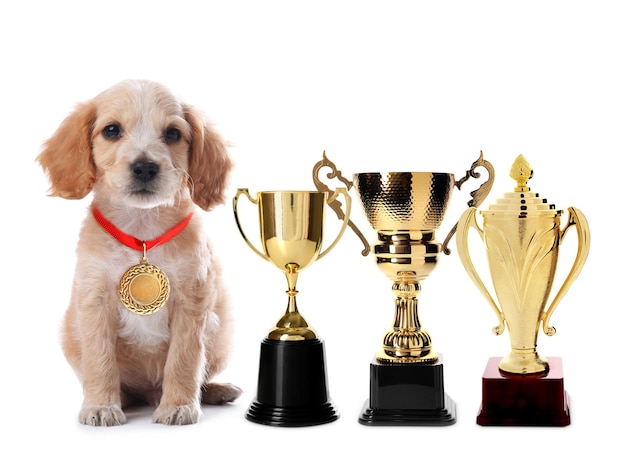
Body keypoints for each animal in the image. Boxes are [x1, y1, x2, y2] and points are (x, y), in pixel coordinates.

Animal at [37, 79, 241, 426]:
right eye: (111, 130)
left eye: (172, 133)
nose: (145, 167)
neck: (142, 232)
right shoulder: (94, 302)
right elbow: (100, 359)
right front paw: (101, 405)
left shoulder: (193, 303)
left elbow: (184, 360)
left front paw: (178, 405)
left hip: (222, 334)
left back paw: (215, 390)